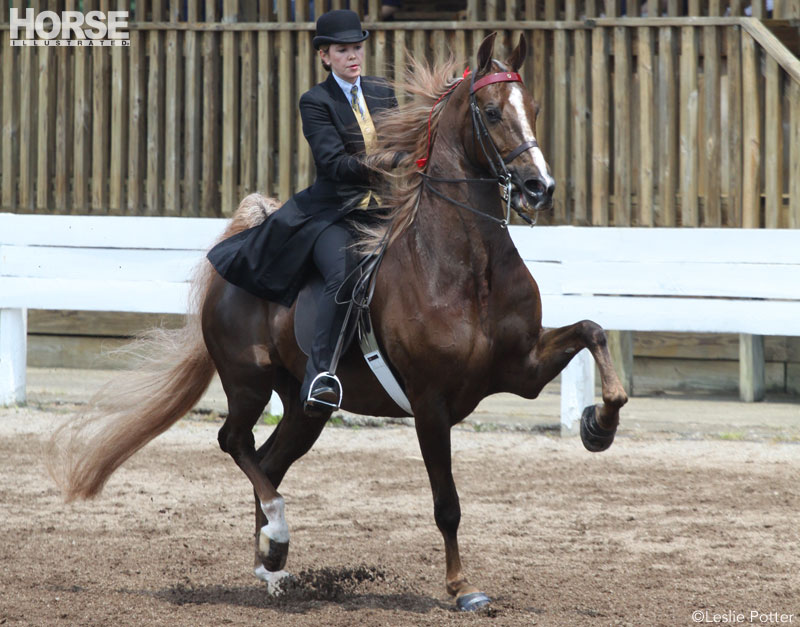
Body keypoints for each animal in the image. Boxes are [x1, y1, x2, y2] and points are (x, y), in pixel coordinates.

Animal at [48, 35, 632, 612]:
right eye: (490, 112)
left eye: (532, 107)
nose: (539, 188)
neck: (467, 266)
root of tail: (228, 262)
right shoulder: (430, 403)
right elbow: (446, 503)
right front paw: (462, 588)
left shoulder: (522, 370)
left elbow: (593, 330)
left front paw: (599, 425)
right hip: (247, 381)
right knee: (234, 442)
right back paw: (277, 536)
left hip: (304, 407)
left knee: (269, 460)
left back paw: (273, 566)